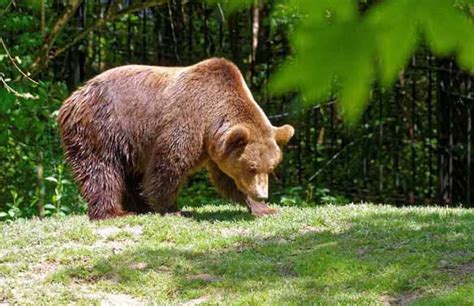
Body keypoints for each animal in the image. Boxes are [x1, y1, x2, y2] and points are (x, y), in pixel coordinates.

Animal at [56, 58, 292, 220]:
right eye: (252, 167)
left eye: (271, 168)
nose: (263, 195)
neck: (210, 120)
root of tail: (72, 99)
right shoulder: (187, 120)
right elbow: (169, 165)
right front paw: (173, 209)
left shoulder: (218, 148)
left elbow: (227, 178)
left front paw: (264, 209)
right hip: (102, 128)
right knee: (101, 170)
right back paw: (114, 212)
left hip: (129, 144)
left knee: (129, 173)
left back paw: (139, 207)